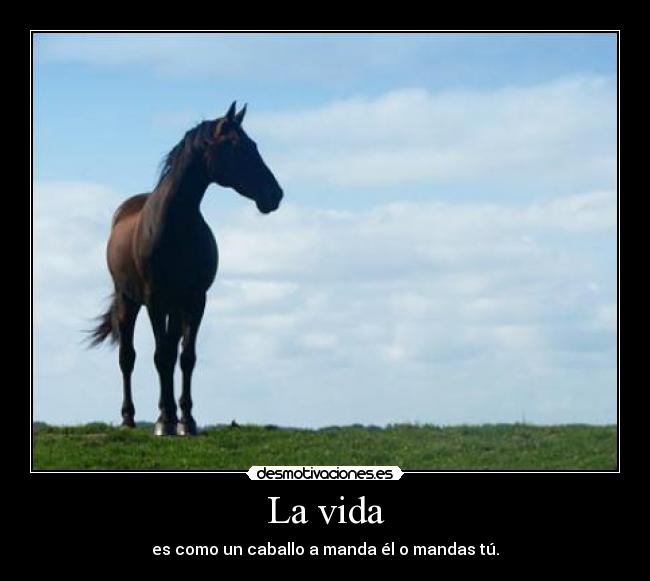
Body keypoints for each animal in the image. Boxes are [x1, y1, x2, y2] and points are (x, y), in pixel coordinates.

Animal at [88, 102, 283, 436]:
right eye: (236, 146)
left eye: (254, 145)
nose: (274, 195)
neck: (174, 226)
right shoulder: (155, 301)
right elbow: (161, 357)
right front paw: (164, 421)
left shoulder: (195, 300)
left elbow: (186, 357)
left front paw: (186, 420)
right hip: (129, 301)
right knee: (128, 357)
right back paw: (129, 418)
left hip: (175, 308)